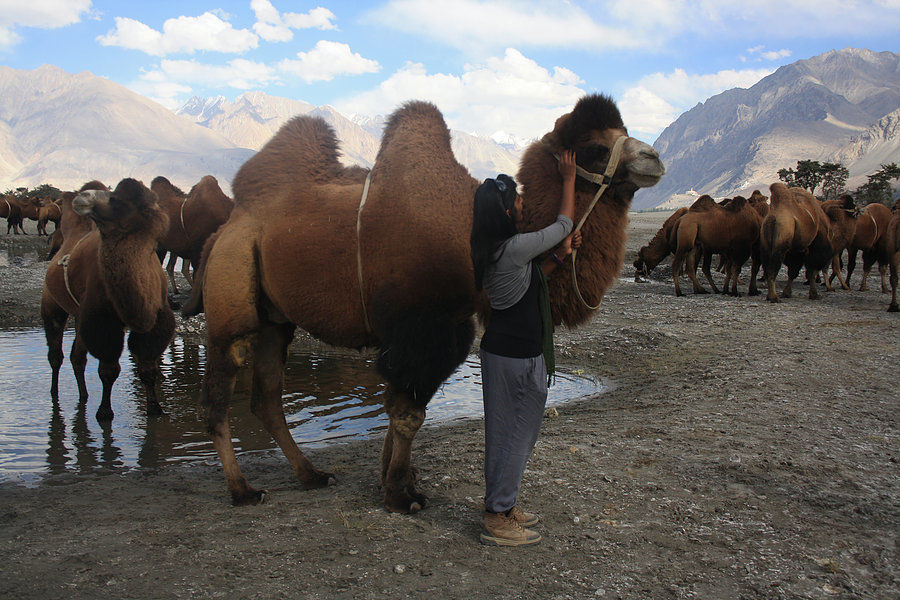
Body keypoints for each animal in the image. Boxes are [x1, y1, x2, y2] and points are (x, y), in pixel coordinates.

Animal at [40, 178, 176, 422]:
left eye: (116, 200)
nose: (83, 197)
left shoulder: (156, 319)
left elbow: (147, 367)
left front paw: (155, 408)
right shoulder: (103, 320)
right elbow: (109, 369)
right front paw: (104, 412)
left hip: (79, 315)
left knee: (77, 357)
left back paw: (83, 395)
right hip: (52, 304)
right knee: (56, 354)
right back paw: (55, 394)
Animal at [183, 95, 664, 510]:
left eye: (622, 133)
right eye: (595, 147)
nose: (654, 158)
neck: (475, 232)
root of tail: (227, 227)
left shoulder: (446, 328)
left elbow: (401, 407)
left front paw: (395, 480)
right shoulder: (422, 327)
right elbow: (408, 413)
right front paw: (401, 494)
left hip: (275, 319)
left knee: (267, 398)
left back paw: (312, 475)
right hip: (232, 297)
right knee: (220, 392)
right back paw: (243, 490)